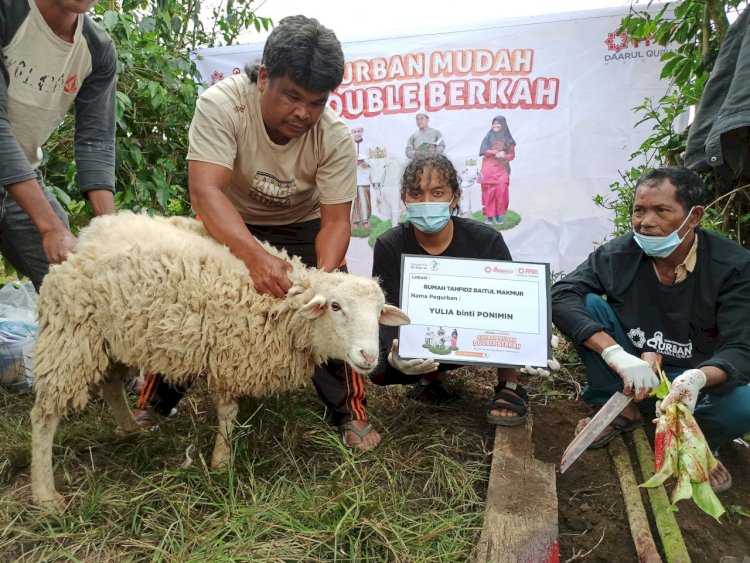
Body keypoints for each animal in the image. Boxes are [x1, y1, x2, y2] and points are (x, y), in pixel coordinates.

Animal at [29, 212, 412, 512]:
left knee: (110, 384)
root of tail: (84, 241)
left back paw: (130, 429)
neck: (282, 309)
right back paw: (45, 495)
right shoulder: (227, 355)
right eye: (335, 306)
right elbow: (228, 412)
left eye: (380, 311)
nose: (368, 356)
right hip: (72, 339)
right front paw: (221, 461)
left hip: (115, 338)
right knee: (45, 415)